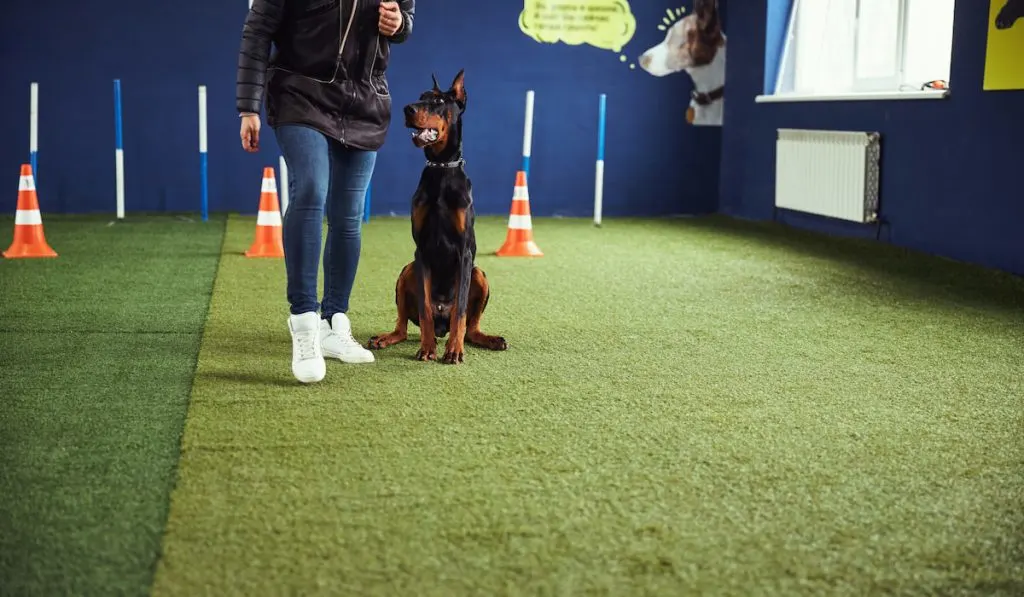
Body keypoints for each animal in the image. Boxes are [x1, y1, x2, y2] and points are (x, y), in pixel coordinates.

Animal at [368, 67, 512, 362]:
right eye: (420, 97)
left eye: (437, 101)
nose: (407, 109)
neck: (441, 169)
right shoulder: (421, 250)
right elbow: (424, 309)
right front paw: (427, 349)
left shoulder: (464, 252)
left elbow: (460, 310)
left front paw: (454, 351)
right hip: (407, 270)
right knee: (405, 326)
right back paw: (386, 338)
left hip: (479, 273)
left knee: (470, 326)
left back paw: (489, 339)